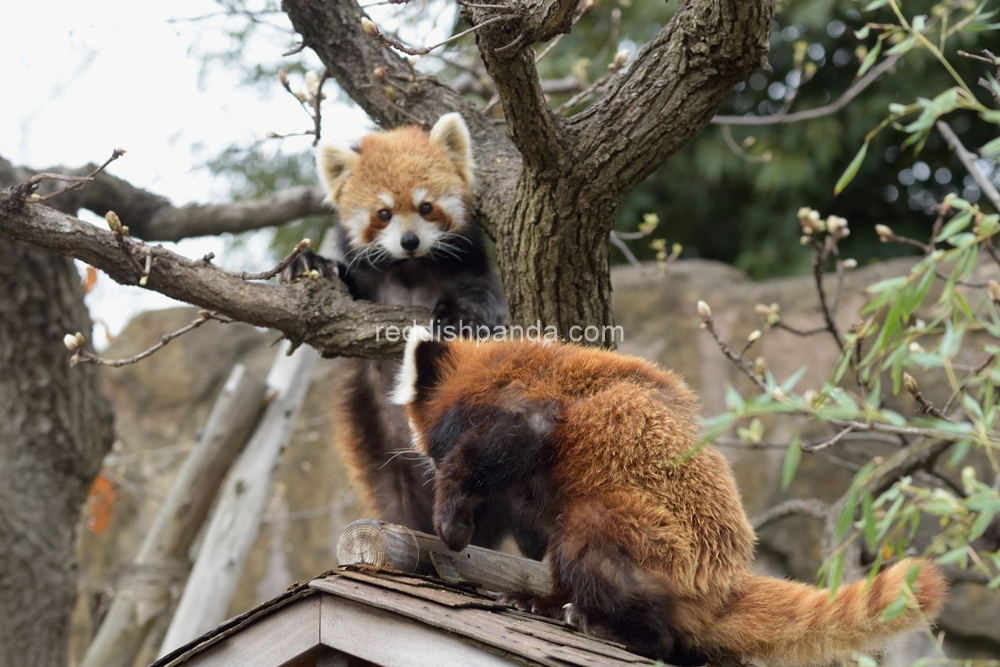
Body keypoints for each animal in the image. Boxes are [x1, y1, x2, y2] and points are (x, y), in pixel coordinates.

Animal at [278, 115, 536, 552]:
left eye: (426, 207)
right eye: (383, 213)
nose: (410, 241)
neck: (411, 268)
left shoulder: (472, 267)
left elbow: (485, 301)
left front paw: (459, 316)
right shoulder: (366, 284)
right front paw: (309, 261)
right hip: (382, 453)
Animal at [390, 330, 944, 667]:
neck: (488, 371)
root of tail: (726, 583)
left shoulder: (528, 408)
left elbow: (495, 448)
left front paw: (451, 520)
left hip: (653, 538)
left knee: (595, 544)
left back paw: (604, 625)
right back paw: (545, 602)